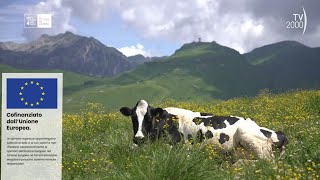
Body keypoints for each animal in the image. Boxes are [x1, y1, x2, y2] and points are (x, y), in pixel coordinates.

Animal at [119, 99, 288, 160]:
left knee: (266, 162)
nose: (139, 137)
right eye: (133, 118)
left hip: (250, 138)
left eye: (148, 117)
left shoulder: (178, 146)